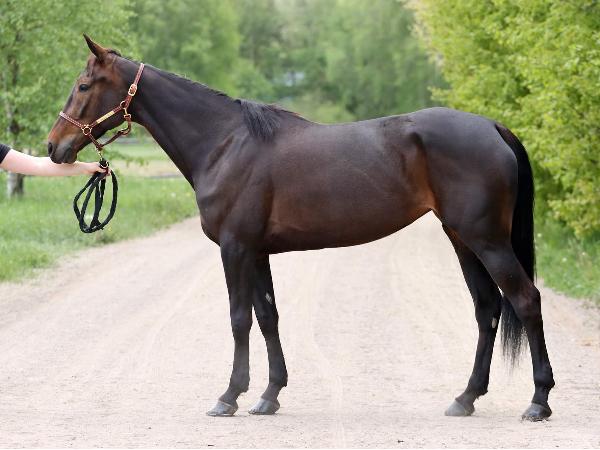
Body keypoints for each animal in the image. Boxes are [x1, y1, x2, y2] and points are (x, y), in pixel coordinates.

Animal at [47, 35, 554, 421]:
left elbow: (239, 319)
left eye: (84, 84)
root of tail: (493, 127)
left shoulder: (234, 248)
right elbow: (268, 316)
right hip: (463, 240)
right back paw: (465, 398)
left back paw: (538, 401)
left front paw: (229, 396)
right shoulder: (257, 251)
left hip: (486, 241)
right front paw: (269, 396)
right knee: (488, 309)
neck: (225, 143)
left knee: (525, 300)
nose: (55, 147)